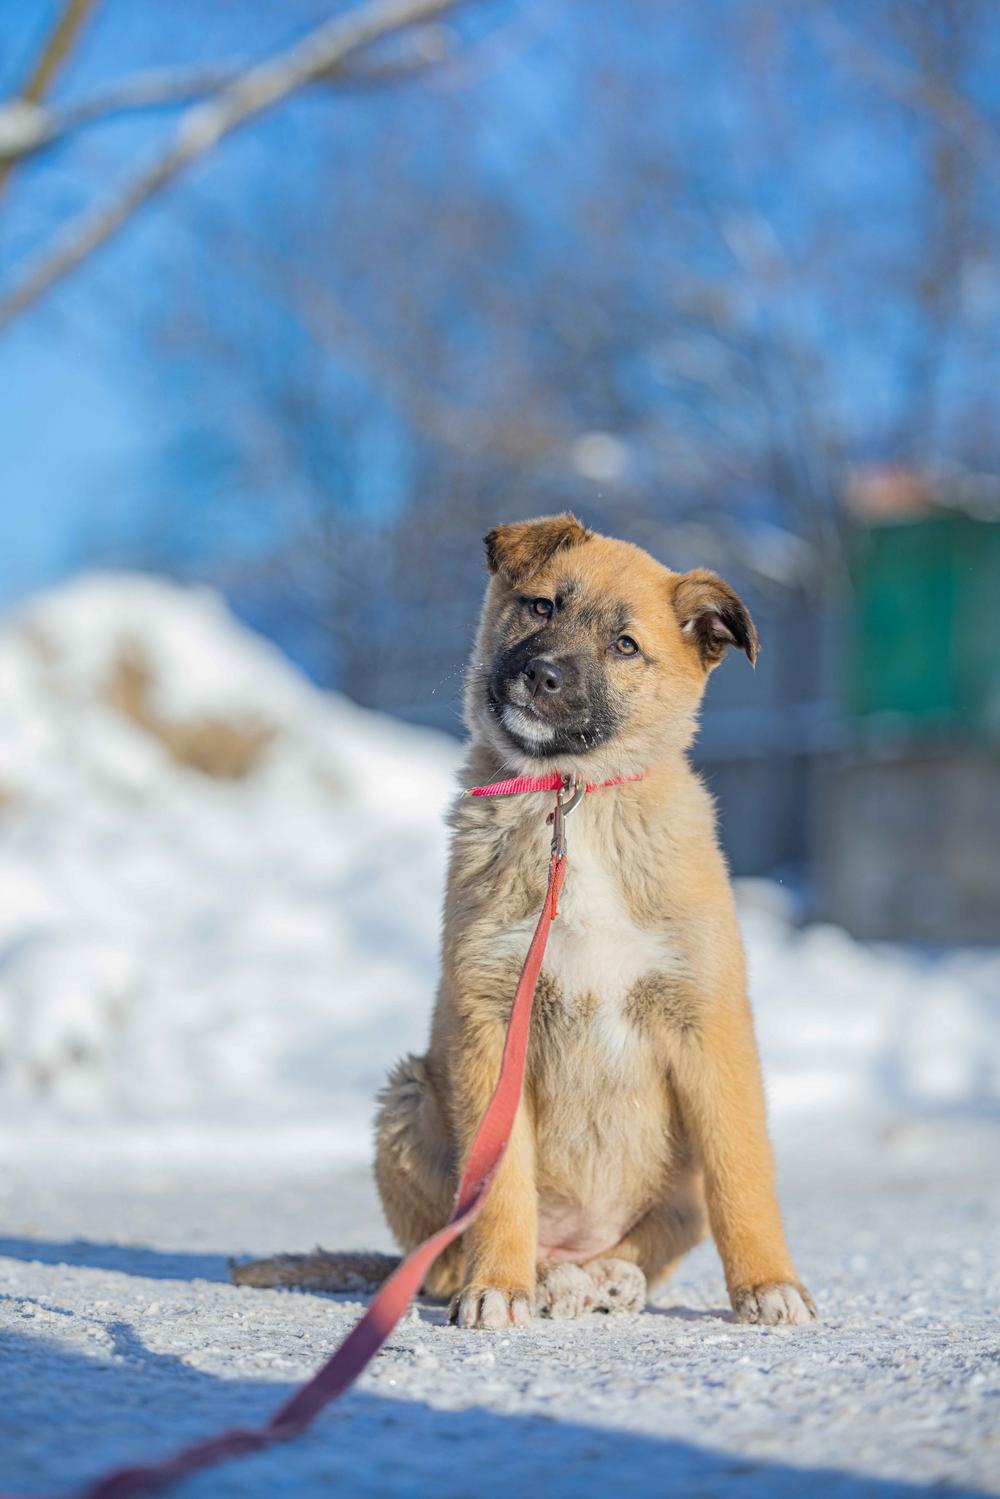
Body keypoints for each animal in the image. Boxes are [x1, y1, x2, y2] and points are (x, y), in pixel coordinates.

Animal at [235, 515, 815, 1325]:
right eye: (541, 606)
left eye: (625, 645)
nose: (541, 676)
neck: (572, 797)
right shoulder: (492, 1018)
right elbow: (501, 1178)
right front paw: (497, 1287)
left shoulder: (710, 1021)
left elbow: (743, 1170)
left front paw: (768, 1281)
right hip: (408, 1097)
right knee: (444, 1256)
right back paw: (543, 1278)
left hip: (673, 1175)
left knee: (646, 1242)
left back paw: (605, 1276)